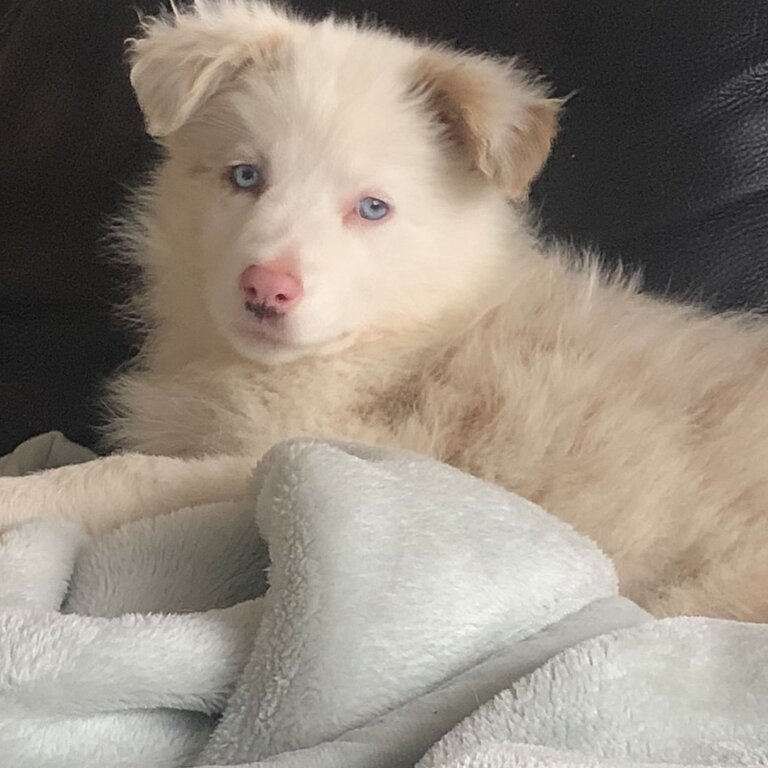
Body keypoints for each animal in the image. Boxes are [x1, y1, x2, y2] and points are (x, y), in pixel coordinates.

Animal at [1, 3, 768, 620]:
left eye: (373, 208)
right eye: (245, 176)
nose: (266, 289)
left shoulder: (279, 455)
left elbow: (124, 476)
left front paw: (19, 498)